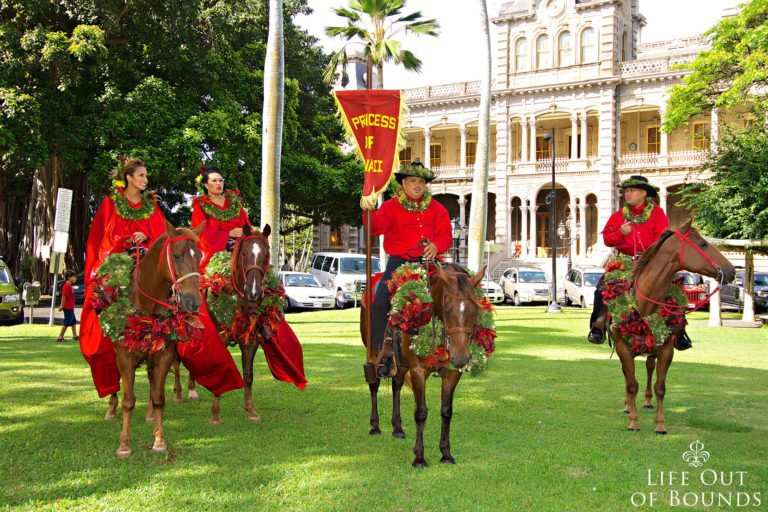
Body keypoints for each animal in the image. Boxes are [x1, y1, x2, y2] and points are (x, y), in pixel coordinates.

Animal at [103, 222, 204, 458]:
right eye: (176, 256)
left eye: (199, 255)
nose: (194, 301)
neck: (146, 306)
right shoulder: (124, 359)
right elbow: (128, 400)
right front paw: (124, 444)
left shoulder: (163, 355)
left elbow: (159, 398)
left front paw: (159, 440)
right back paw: (111, 408)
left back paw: (149, 414)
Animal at [362, 262, 484, 466]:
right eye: (447, 309)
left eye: (474, 310)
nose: (460, 357)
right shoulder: (418, 371)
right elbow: (421, 413)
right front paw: (419, 457)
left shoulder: (452, 373)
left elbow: (446, 411)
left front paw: (446, 453)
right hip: (373, 353)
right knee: (374, 384)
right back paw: (375, 425)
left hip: (401, 363)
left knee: (396, 385)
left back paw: (397, 428)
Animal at [612, 218, 736, 434]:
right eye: (703, 244)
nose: (732, 270)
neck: (646, 302)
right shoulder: (624, 349)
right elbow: (631, 384)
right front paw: (633, 421)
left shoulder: (666, 350)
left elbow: (660, 387)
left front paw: (660, 424)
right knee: (629, 376)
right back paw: (628, 406)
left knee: (649, 367)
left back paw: (647, 402)